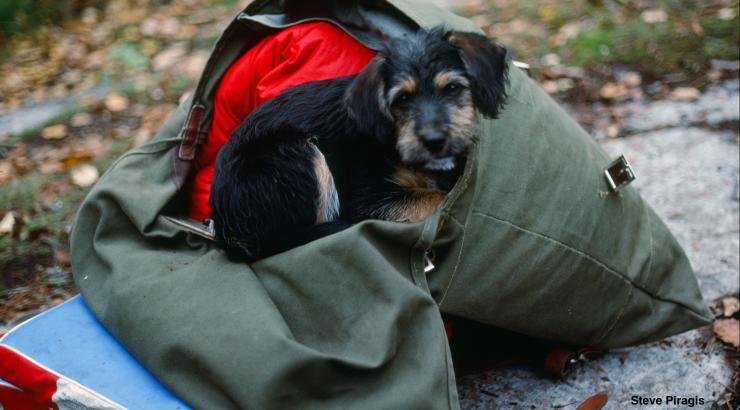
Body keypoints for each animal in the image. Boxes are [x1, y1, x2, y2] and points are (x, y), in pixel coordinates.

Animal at [210, 27, 508, 262]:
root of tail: (226, 229)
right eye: (402, 99)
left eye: (452, 89)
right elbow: (435, 197)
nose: (435, 141)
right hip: (295, 155)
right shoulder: (367, 199)